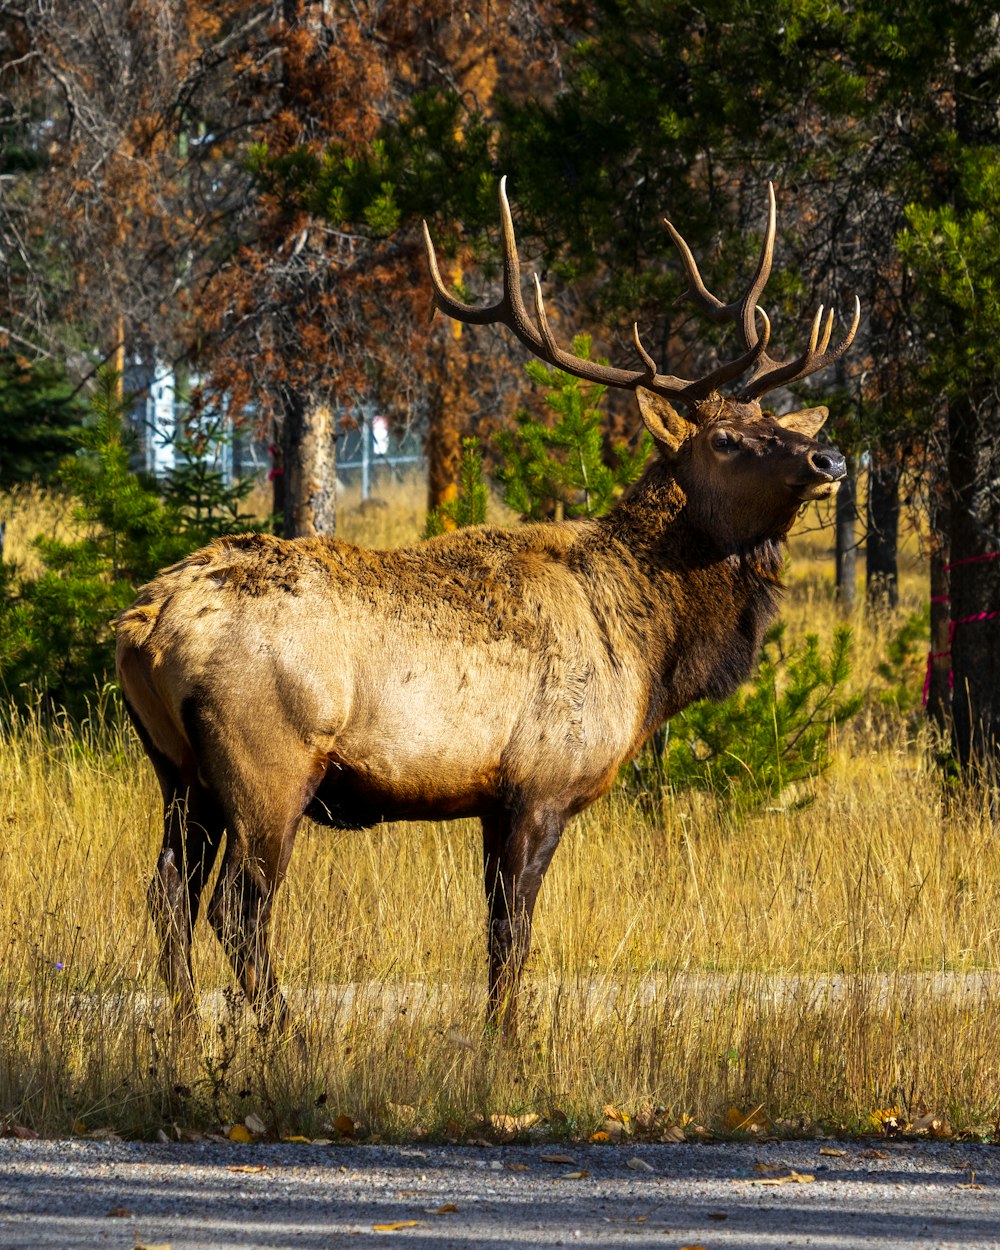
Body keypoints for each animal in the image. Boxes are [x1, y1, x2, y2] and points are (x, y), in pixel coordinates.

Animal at [113, 176, 855, 1035]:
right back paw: (286, 1034)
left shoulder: (491, 801)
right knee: (239, 907)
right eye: (727, 440)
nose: (830, 457)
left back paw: (183, 1028)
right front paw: (506, 1040)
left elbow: (496, 931)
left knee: (167, 894)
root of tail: (142, 626)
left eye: (774, 422)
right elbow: (513, 935)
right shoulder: (540, 783)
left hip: (178, 770)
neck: (650, 652)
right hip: (266, 762)